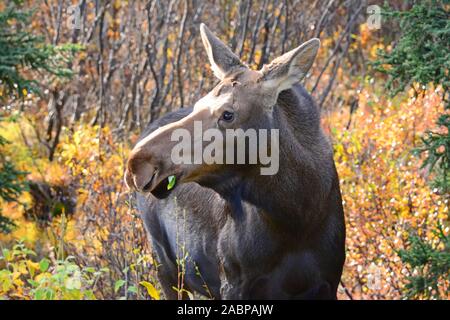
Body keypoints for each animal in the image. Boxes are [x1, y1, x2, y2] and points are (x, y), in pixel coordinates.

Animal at [125, 23, 346, 300]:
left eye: (228, 114)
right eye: (198, 105)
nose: (137, 164)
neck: (297, 214)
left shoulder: (328, 282)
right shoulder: (232, 282)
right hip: (165, 265)